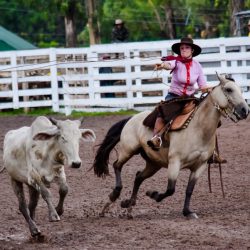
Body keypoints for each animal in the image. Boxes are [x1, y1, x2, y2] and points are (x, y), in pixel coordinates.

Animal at [93, 73, 249, 219]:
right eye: (229, 89)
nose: (245, 110)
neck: (198, 129)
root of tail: (131, 118)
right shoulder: (175, 162)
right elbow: (170, 189)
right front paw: (153, 194)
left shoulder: (200, 166)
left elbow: (189, 190)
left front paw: (187, 212)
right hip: (128, 150)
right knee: (116, 165)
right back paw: (114, 195)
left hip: (153, 163)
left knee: (138, 177)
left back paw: (128, 206)